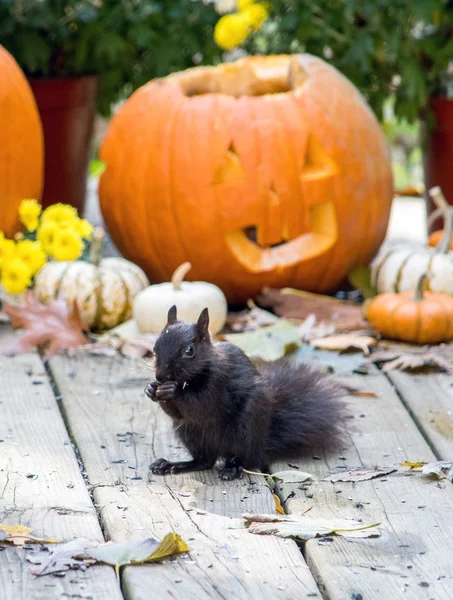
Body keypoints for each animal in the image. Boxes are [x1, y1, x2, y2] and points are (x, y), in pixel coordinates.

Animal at [145, 308, 346, 480]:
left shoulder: (219, 383)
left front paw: (173, 391)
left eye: (189, 351)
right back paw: (172, 465)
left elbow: (202, 407)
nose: (161, 376)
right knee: (205, 460)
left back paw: (232, 468)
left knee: (245, 458)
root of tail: (261, 445)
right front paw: (151, 389)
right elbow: (177, 413)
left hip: (247, 426)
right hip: (190, 432)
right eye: (154, 347)